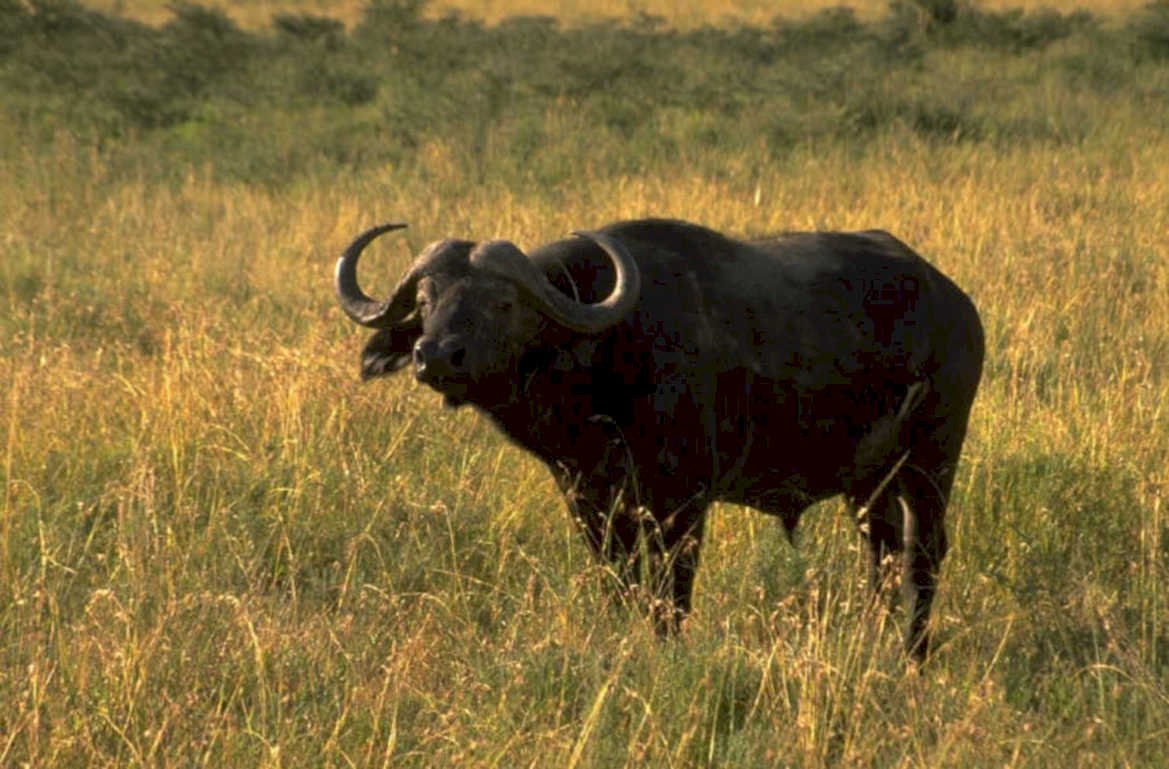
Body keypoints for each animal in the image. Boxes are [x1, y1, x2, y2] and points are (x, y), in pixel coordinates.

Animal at [335, 218, 983, 659]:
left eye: (502, 302)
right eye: (426, 300)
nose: (434, 355)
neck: (608, 353)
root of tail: (955, 302)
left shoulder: (682, 503)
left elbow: (671, 591)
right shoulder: (590, 500)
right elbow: (619, 583)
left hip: (932, 458)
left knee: (922, 555)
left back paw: (913, 655)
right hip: (869, 482)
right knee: (881, 552)